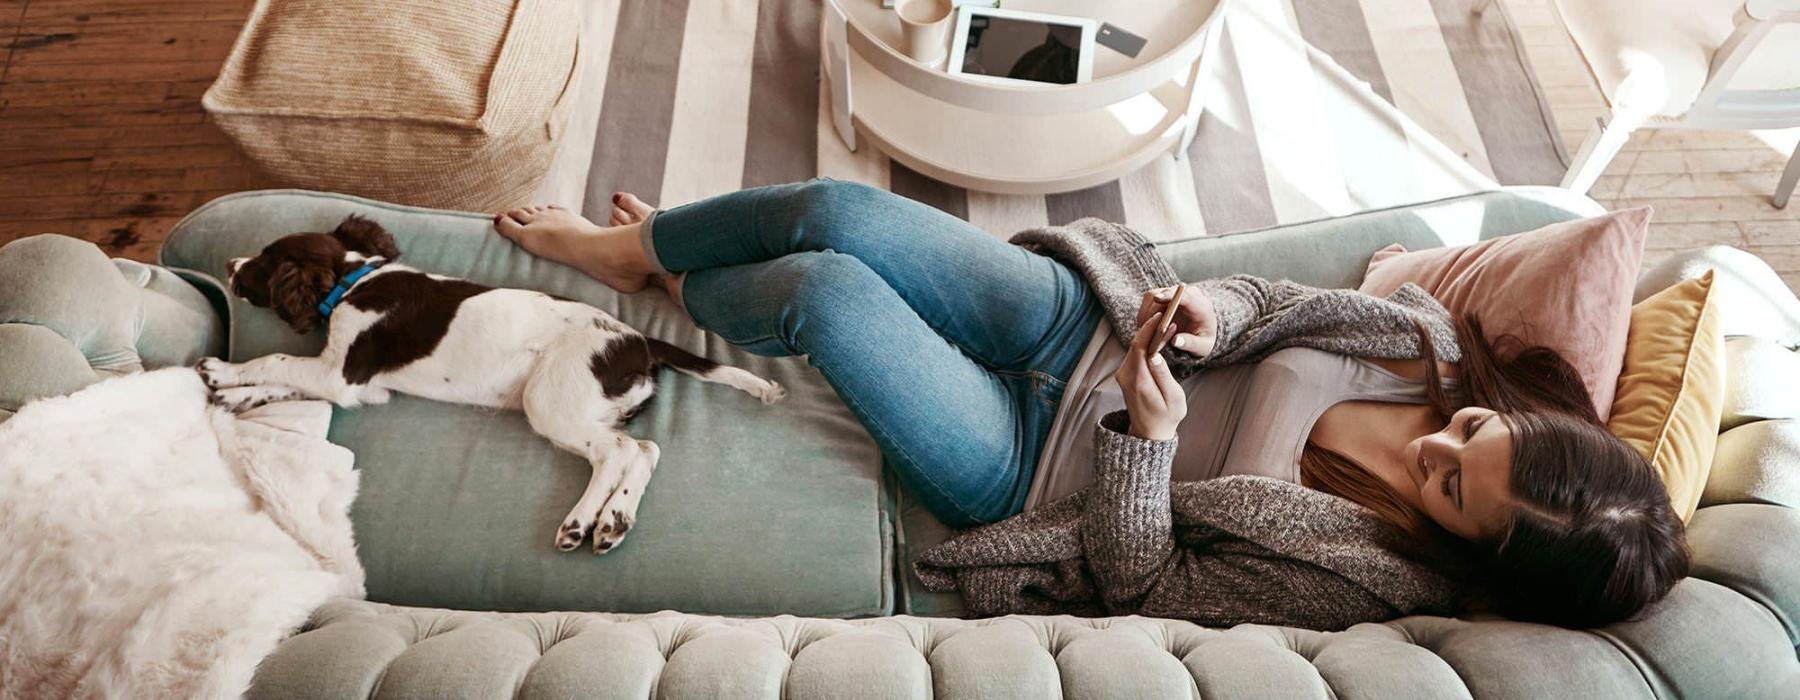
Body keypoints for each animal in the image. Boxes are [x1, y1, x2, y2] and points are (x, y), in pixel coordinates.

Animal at [200, 215, 784, 554]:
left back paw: (582, 522)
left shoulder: (342, 373)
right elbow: (285, 382)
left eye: (262, 263)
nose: (228, 261)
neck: (353, 279)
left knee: (617, 452)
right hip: (592, 407)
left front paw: (225, 372)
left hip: (550, 400)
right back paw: (613, 520)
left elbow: (279, 359)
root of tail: (638, 340)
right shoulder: (358, 384)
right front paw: (235, 393)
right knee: (644, 449)